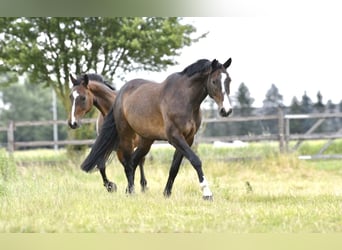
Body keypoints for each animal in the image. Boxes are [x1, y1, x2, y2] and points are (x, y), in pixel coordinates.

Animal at [81, 58, 234, 199]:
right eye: (214, 81)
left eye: (229, 80)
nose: (226, 110)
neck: (185, 99)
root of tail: (120, 94)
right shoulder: (174, 137)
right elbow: (195, 160)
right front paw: (207, 193)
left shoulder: (188, 139)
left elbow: (174, 167)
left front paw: (167, 193)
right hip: (126, 136)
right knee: (127, 162)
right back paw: (131, 191)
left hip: (146, 140)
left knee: (134, 160)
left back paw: (129, 189)